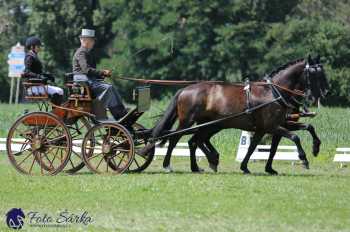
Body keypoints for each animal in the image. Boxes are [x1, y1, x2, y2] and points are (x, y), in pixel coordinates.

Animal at [145, 55, 328, 174]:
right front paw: (304, 159)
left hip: (211, 124)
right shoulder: (273, 126)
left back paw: (201, 165)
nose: (326, 91)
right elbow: (294, 138)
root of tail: (185, 89)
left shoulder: (267, 128)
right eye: (315, 74)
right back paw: (168, 165)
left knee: (195, 140)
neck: (274, 92)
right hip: (188, 121)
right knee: (176, 138)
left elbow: (259, 146)